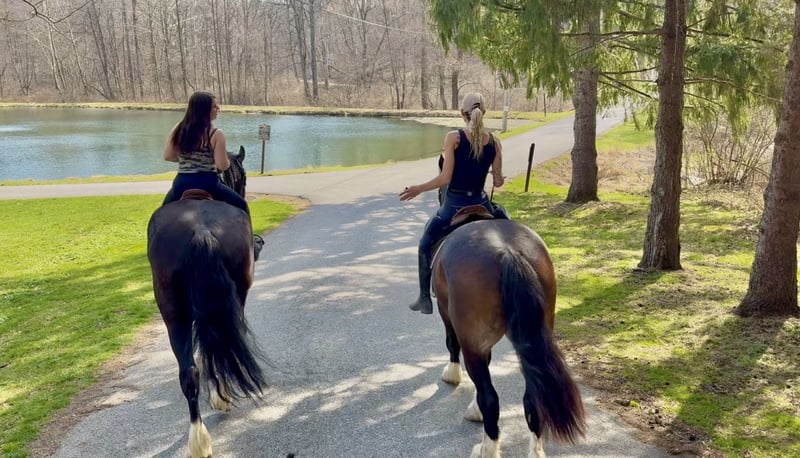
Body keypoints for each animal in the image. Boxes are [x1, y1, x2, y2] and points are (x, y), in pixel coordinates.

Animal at [147, 146, 268, 458]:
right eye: (244, 177)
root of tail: (200, 230)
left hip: (172, 310)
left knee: (189, 372)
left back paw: (198, 441)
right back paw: (220, 398)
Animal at [431, 209, 586, 458]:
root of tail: (507, 252)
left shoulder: (448, 316)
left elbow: (451, 344)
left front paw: (452, 375)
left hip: (471, 343)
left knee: (489, 398)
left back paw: (487, 448)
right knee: (532, 398)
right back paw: (535, 451)